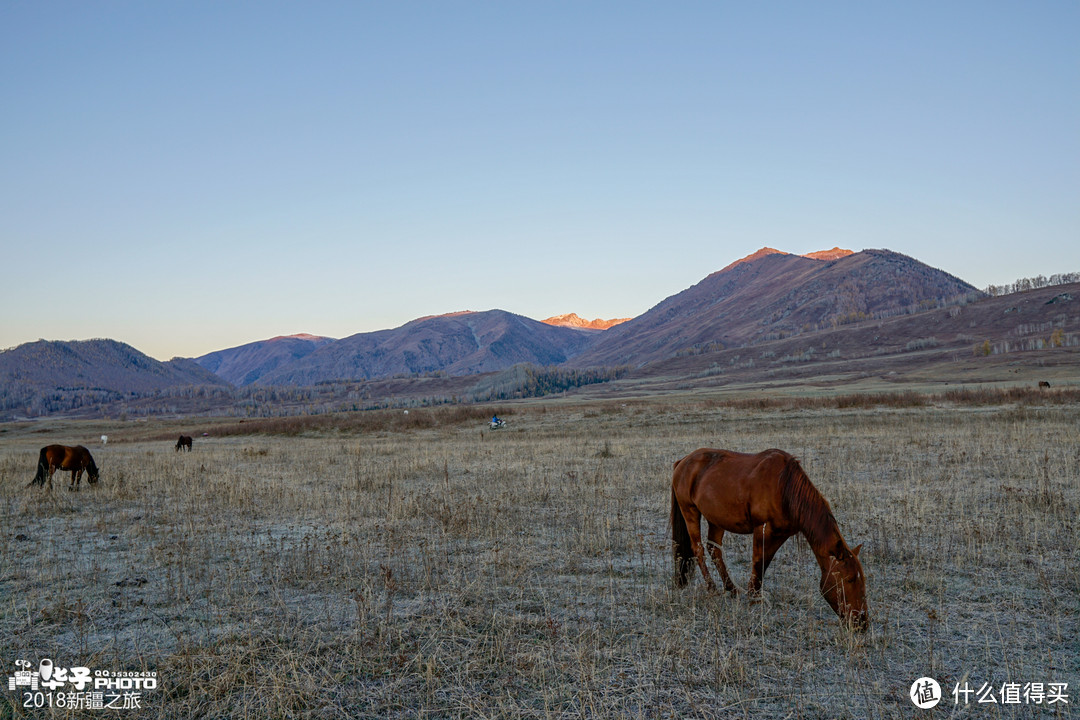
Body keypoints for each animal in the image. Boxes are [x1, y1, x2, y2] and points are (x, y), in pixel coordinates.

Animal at [665, 451, 868, 630]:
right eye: (849, 579)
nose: (862, 622)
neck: (784, 487)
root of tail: (683, 461)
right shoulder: (762, 529)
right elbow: (758, 561)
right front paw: (754, 598)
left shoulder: (780, 534)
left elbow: (764, 563)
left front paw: (754, 594)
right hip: (690, 511)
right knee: (698, 549)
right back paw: (712, 587)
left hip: (716, 519)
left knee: (714, 549)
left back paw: (731, 588)